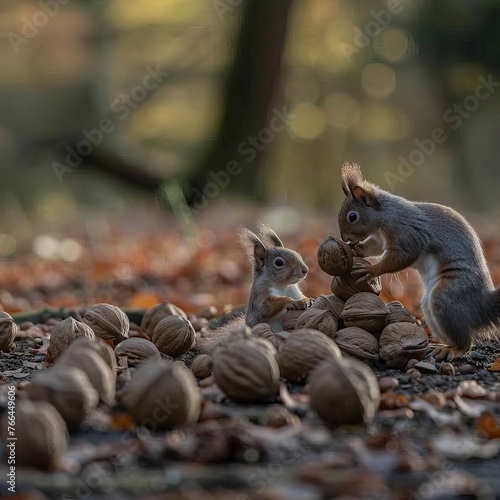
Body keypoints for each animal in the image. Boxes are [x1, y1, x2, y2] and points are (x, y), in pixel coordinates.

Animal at [336, 164, 500, 360]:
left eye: (352, 216)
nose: (344, 239)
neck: (384, 214)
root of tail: (482, 306)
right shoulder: (380, 238)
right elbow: (376, 247)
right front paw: (355, 250)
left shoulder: (405, 231)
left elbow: (404, 255)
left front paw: (373, 269)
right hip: (429, 307)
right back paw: (442, 346)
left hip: (449, 296)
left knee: (465, 342)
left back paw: (454, 350)